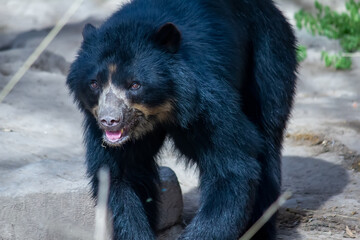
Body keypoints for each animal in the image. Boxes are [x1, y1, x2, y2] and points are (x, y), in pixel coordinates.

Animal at [66, 0, 296, 239]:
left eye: (135, 85)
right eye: (94, 83)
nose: (109, 120)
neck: (162, 108)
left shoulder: (207, 103)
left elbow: (232, 164)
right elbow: (120, 175)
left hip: (269, 56)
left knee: (268, 136)